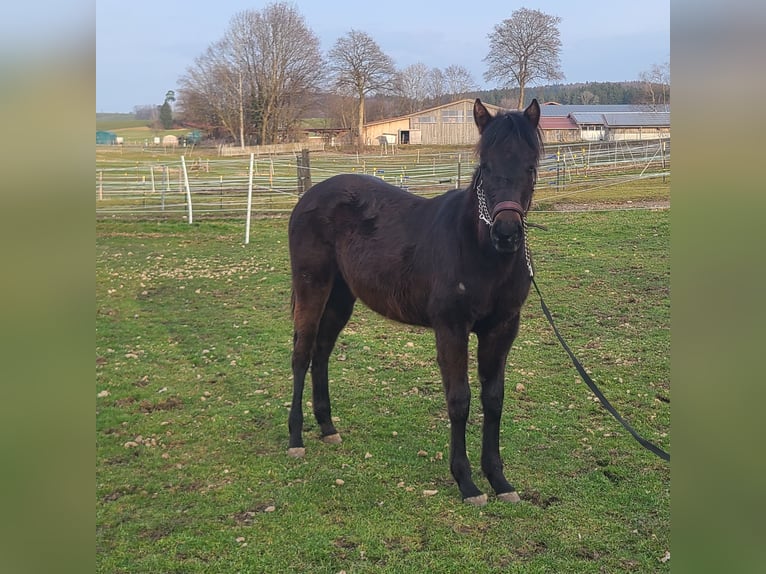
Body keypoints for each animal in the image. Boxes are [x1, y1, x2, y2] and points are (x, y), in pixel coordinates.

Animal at [287, 98, 542, 505]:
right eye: (486, 166)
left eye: (531, 166)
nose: (506, 234)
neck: (479, 251)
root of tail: (309, 197)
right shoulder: (451, 328)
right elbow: (459, 399)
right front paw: (467, 482)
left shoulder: (502, 329)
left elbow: (493, 399)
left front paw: (499, 480)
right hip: (313, 286)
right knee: (302, 353)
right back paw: (296, 438)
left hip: (342, 296)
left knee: (321, 352)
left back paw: (327, 426)